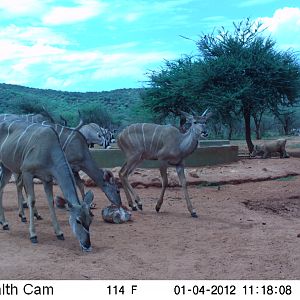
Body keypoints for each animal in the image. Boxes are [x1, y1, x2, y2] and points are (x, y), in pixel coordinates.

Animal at [0, 119, 94, 251]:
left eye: (90, 221)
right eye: (78, 221)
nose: (87, 245)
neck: (49, 149)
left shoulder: (47, 179)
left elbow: (51, 201)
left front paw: (59, 233)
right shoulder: (27, 172)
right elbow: (32, 200)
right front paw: (33, 235)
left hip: (7, 168)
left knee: (1, 188)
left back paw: (4, 223)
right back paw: (6, 222)